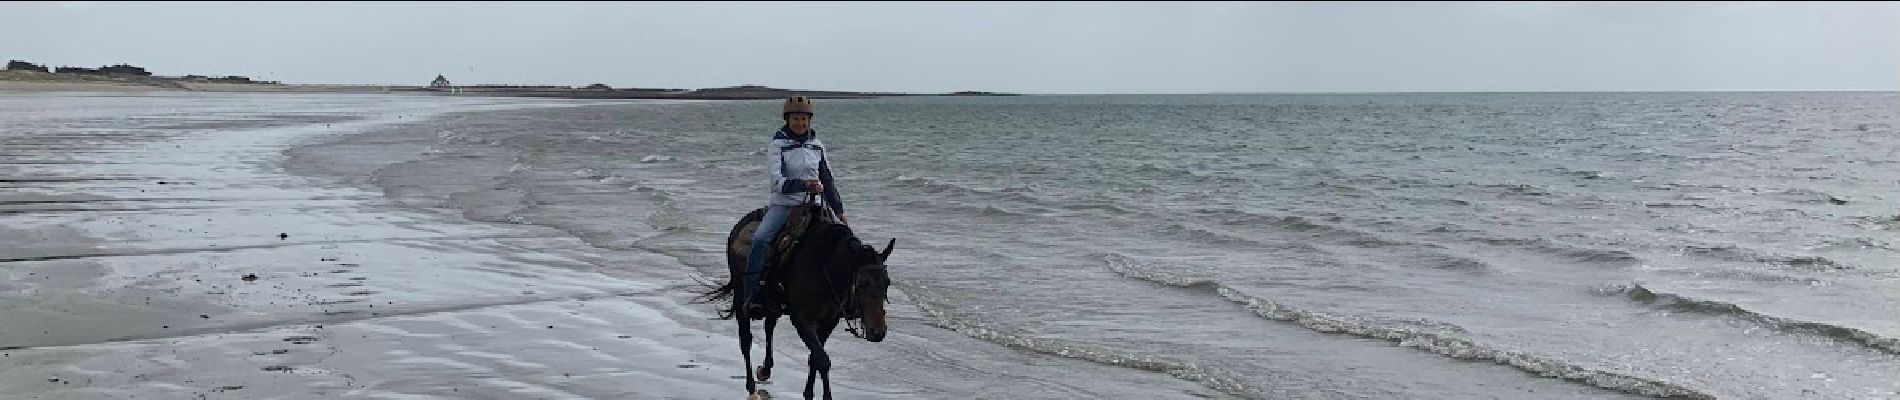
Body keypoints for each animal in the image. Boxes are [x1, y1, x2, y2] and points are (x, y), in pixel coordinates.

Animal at [706, 202, 896, 400]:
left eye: (887, 282)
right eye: (861, 283)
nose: (877, 332)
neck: (824, 264)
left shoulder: (830, 320)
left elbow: (815, 357)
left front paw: (809, 392)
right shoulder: (801, 318)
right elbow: (822, 358)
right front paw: (825, 395)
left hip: (772, 302)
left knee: (769, 326)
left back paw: (765, 370)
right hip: (741, 296)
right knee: (745, 340)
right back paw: (751, 388)